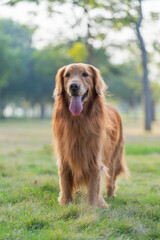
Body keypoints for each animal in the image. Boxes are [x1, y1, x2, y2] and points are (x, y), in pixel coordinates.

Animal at [52, 62, 129, 207]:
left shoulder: (95, 156)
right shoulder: (64, 155)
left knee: (111, 179)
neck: (78, 121)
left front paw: (94, 205)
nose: (74, 86)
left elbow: (94, 183)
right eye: (67, 75)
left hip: (114, 157)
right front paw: (66, 202)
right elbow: (65, 181)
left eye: (85, 74)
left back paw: (110, 196)